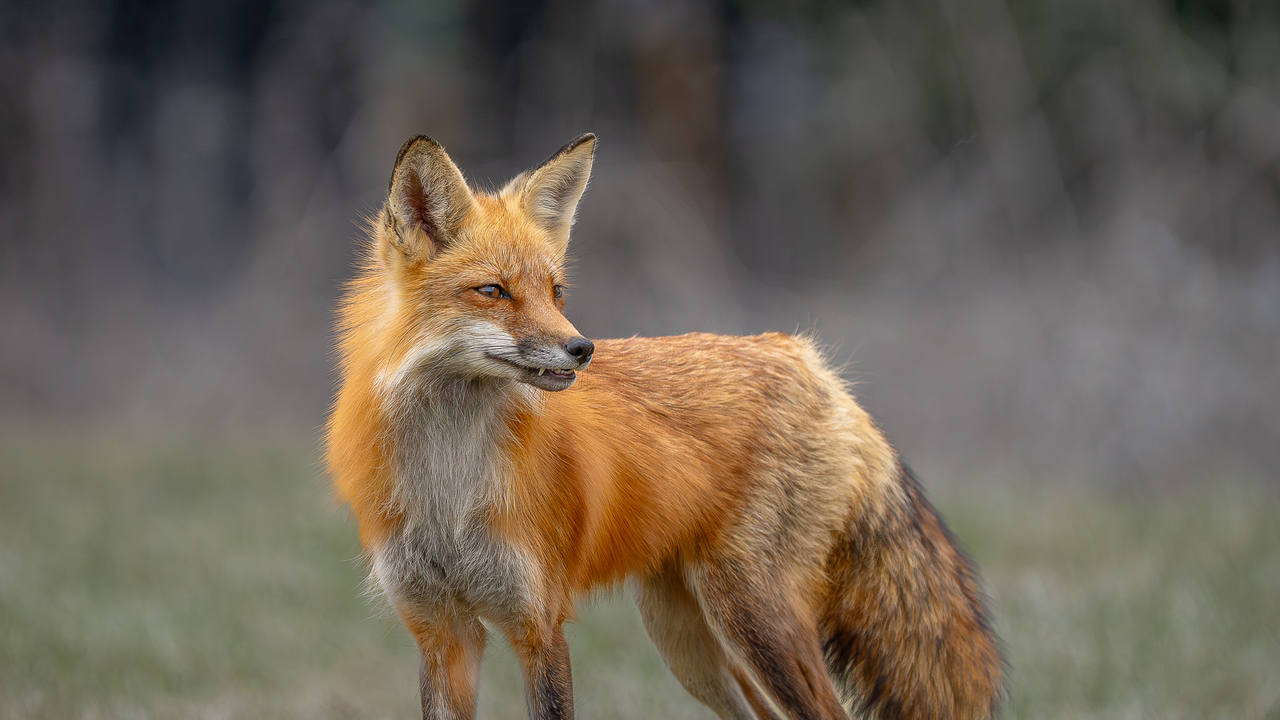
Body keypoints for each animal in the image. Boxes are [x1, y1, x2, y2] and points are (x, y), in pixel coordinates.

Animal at [325, 133, 1003, 720]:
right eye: (492, 291)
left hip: (753, 617)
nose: (582, 349)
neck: (448, 491)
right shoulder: (441, 631)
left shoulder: (539, 624)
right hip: (687, 640)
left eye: (556, 291)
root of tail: (802, 356)